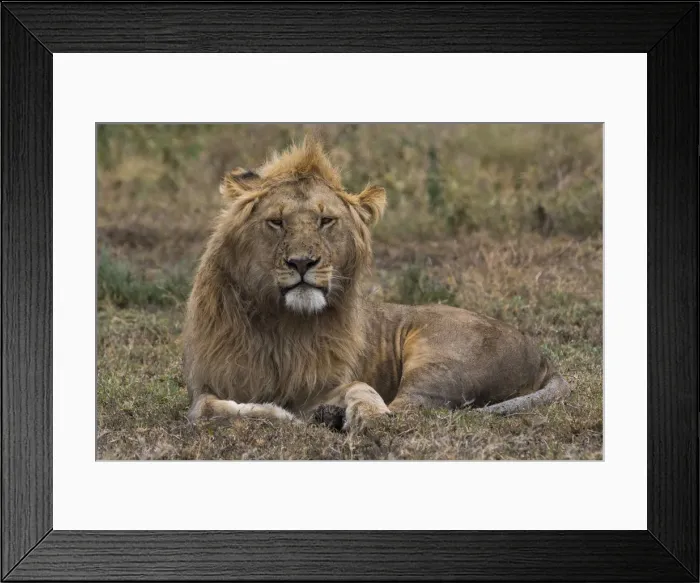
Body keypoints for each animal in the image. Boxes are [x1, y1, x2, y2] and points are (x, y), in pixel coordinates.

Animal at [182, 137, 572, 432]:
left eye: (326, 221)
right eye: (276, 222)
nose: (302, 263)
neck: (283, 323)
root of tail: (542, 356)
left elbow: (360, 390)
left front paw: (349, 413)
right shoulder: (207, 384)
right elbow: (205, 410)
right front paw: (281, 412)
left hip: (439, 358)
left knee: (411, 410)